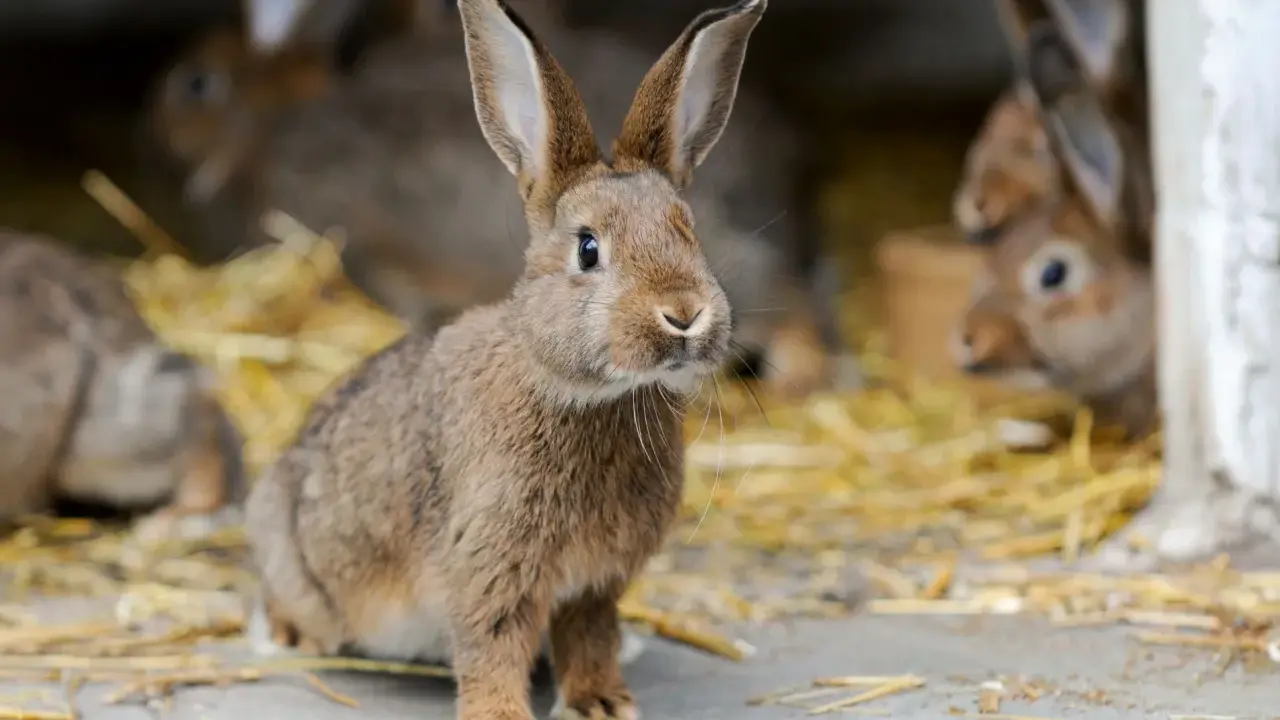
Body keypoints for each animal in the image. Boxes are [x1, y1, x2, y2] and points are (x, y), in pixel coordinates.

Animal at [242, 0, 761, 717]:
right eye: (588, 249)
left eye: (690, 233)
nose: (684, 314)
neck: (583, 391)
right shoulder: (491, 564)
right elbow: (492, 644)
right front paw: (501, 713)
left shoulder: (594, 583)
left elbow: (589, 636)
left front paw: (601, 703)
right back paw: (285, 635)